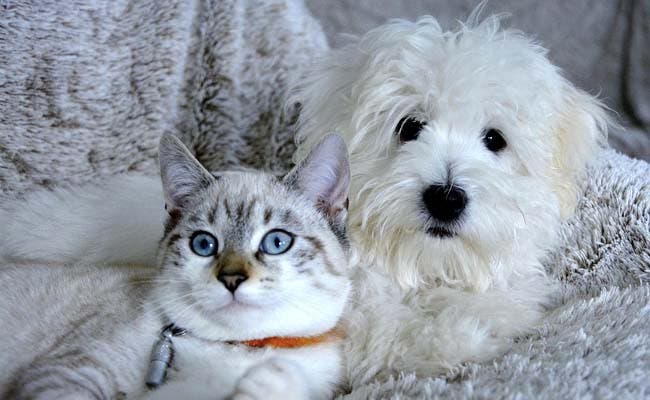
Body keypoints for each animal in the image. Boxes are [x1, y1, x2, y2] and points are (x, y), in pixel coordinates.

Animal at [0, 133, 350, 398]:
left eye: (277, 242)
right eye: (204, 245)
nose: (232, 279)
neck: (239, 350)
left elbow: (285, 379)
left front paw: (272, 377)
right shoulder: (67, 375)